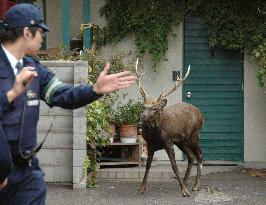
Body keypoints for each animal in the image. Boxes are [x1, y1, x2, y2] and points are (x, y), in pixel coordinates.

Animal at [136, 59, 205, 197]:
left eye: (154, 108)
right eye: (143, 106)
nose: (143, 116)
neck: (155, 135)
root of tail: (201, 114)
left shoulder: (168, 142)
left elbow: (174, 166)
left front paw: (185, 192)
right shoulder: (150, 144)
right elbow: (148, 165)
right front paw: (142, 188)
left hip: (194, 135)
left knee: (199, 154)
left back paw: (195, 186)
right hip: (181, 141)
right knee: (191, 156)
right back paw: (185, 182)